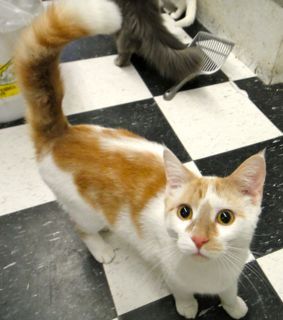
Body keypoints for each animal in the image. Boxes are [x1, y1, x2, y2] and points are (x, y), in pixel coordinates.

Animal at [15, 1, 268, 318]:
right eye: (184, 212)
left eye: (225, 217)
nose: (199, 239)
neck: (207, 271)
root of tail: (62, 133)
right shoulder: (171, 271)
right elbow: (182, 291)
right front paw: (187, 306)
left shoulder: (232, 272)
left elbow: (229, 291)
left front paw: (234, 306)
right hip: (82, 209)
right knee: (81, 228)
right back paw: (101, 248)